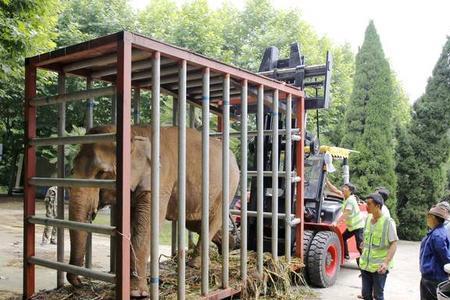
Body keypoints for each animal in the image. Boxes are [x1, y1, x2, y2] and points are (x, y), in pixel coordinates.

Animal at [66, 124, 239, 298]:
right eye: (72, 170)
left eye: (101, 173)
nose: (79, 283)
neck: (134, 134)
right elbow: (133, 223)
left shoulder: (160, 177)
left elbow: (147, 225)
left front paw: (137, 293)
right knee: (195, 222)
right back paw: (229, 246)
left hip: (228, 186)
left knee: (211, 220)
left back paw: (195, 264)